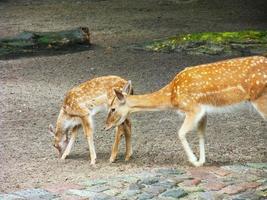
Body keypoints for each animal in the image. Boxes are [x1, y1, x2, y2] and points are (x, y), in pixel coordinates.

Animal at [105, 56, 266, 167]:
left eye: (112, 108)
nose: (105, 126)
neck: (172, 97)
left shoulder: (193, 108)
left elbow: (180, 132)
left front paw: (193, 160)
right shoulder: (203, 111)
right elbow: (201, 134)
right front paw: (201, 161)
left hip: (261, 99)